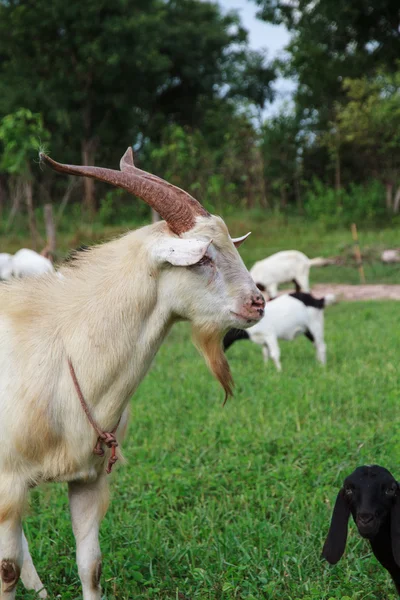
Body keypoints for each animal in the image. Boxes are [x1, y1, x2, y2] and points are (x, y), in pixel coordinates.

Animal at [0, 146, 266, 600]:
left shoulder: (88, 482)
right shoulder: (7, 481)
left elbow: (91, 566)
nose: (258, 303)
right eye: (203, 257)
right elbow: (7, 571)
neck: (65, 353)